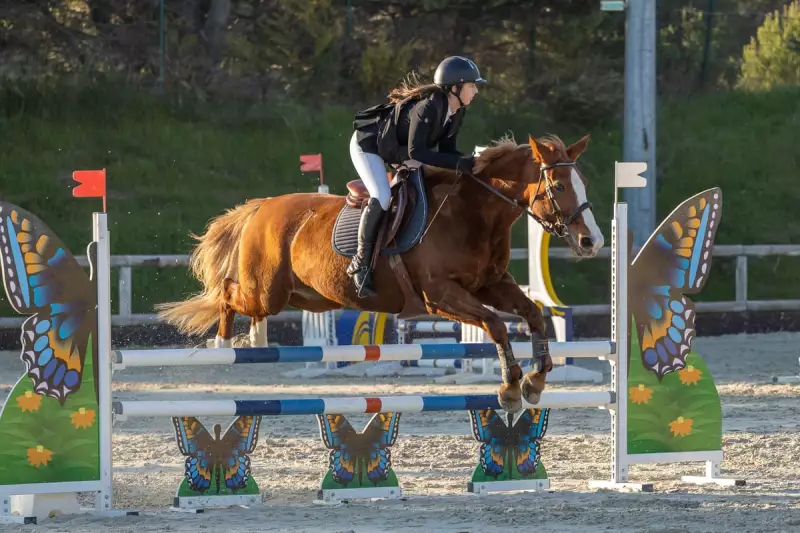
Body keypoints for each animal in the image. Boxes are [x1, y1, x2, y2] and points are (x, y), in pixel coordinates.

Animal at [156, 133, 604, 412]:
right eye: (559, 186)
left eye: (582, 181)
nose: (592, 242)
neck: (473, 213)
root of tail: (262, 206)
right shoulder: (440, 297)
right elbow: (495, 324)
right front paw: (511, 388)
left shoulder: (491, 284)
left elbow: (531, 313)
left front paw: (536, 382)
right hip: (267, 291)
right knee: (227, 293)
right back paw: (224, 341)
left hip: (307, 297)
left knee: (245, 302)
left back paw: (252, 338)